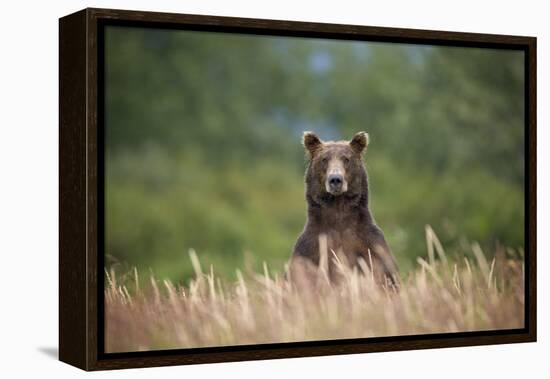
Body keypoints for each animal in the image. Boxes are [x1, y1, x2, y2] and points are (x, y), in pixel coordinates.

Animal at [288, 132, 402, 286]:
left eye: (346, 159)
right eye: (324, 159)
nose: (335, 179)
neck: (338, 208)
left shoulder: (370, 245)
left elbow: (386, 276)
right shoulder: (310, 249)